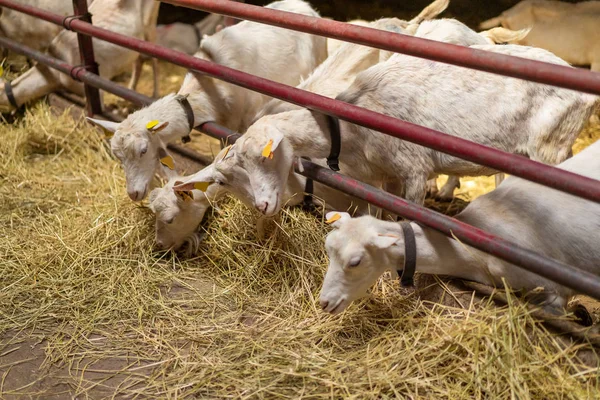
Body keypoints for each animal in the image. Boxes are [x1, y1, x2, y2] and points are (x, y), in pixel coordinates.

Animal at [90, 0, 328, 200]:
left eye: (143, 150)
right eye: (118, 156)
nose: (134, 194)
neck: (207, 89)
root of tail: (307, 8)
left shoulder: (241, 120)